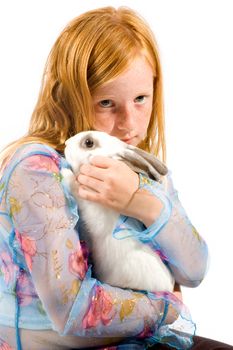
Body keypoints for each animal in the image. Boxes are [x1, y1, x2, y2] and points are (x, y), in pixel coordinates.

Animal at [62, 131, 175, 292]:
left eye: (89, 142)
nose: (66, 143)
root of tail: (168, 287)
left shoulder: (94, 211)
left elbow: (77, 188)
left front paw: (65, 173)